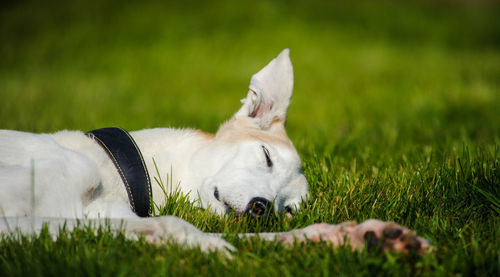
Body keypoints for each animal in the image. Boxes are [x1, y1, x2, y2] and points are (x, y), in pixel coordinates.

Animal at [0, 49, 430, 254]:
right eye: (266, 155)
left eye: (288, 209)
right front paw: (210, 246)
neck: (114, 169)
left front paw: (361, 236)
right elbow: (176, 223)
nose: (260, 207)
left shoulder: (100, 217)